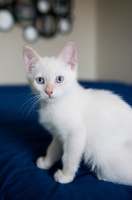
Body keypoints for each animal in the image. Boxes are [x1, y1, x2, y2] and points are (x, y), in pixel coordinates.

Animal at [23, 41, 132, 185]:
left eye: (59, 79)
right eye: (40, 80)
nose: (49, 92)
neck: (54, 105)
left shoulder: (76, 134)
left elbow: (70, 157)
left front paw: (65, 176)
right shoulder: (58, 135)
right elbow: (53, 149)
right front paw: (46, 162)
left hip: (104, 154)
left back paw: (102, 175)